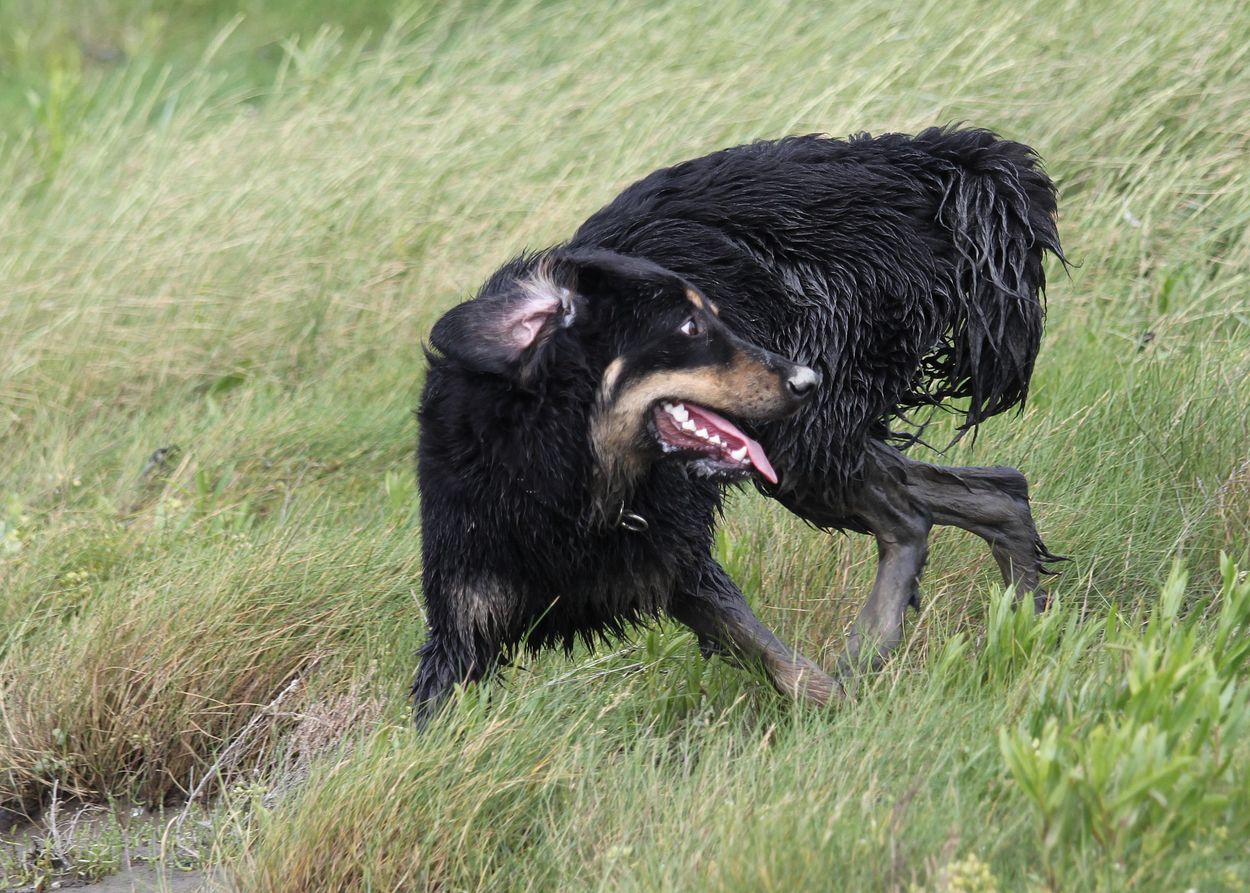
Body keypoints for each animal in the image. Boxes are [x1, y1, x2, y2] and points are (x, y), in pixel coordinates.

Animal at [411, 126, 1063, 725]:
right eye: (690, 329)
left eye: (716, 318)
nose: (805, 378)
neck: (572, 480)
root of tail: (913, 167)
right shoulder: (464, 627)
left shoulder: (684, 564)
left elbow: (791, 670)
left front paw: (842, 709)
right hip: (811, 446)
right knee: (998, 490)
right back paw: (1023, 624)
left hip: (805, 443)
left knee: (911, 517)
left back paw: (873, 647)